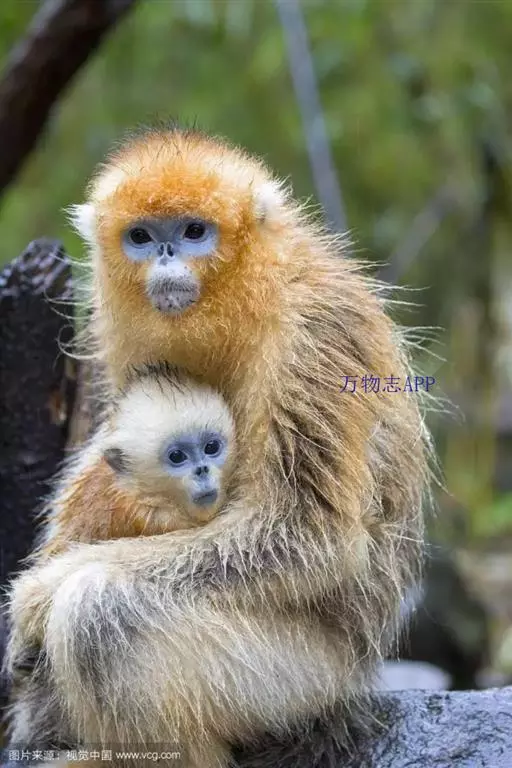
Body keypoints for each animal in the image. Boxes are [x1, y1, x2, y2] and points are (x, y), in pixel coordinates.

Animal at [6, 127, 430, 768]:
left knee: (99, 611)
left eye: (193, 231)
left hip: (294, 684)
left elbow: (306, 534)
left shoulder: (316, 333)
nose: (166, 255)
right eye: (141, 237)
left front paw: (37, 594)